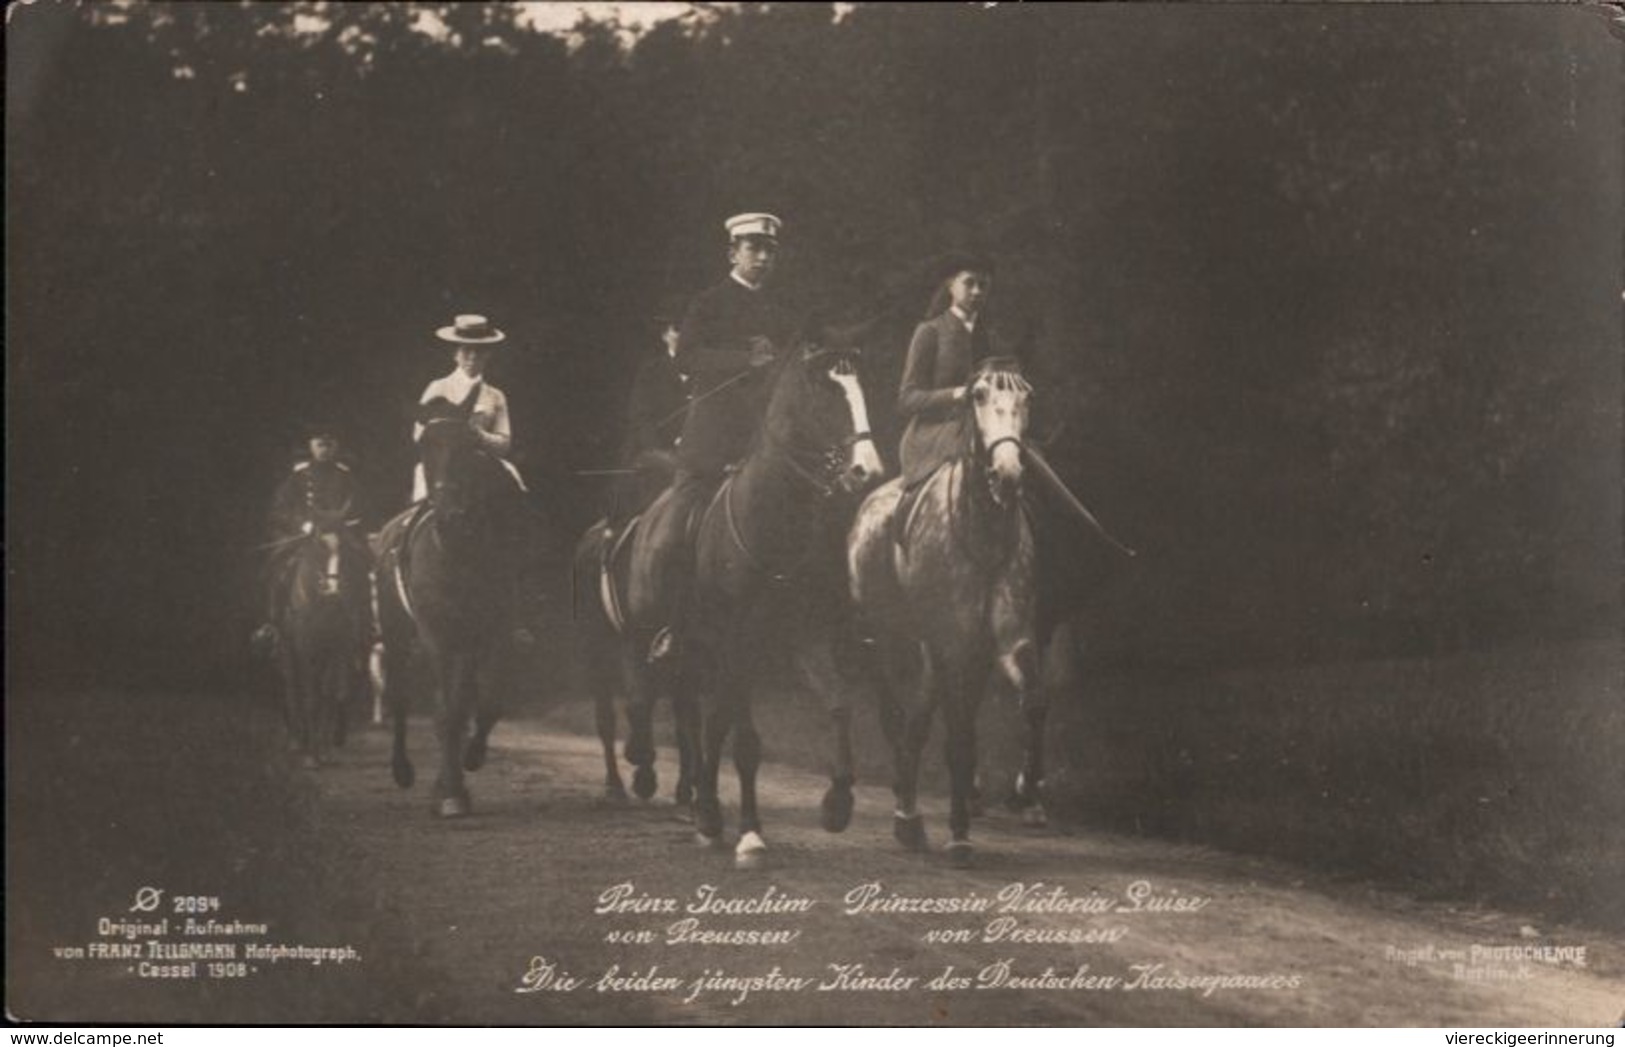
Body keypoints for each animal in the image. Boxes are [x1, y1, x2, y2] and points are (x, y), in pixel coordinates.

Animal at [373, 383, 520, 819]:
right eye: (424, 446)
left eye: (468, 443)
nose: (451, 515)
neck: (459, 551)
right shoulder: (436, 634)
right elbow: (448, 711)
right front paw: (452, 793)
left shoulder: (492, 630)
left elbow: (486, 702)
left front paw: (470, 760)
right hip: (399, 635)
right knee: (401, 696)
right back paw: (404, 770)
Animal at [679, 343, 890, 864]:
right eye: (826, 394)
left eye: (861, 389)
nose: (867, 471)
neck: (773, 522)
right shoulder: (739, 644)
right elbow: (747, 742)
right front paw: (751, 833)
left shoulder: (806, 639)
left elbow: (839, 704)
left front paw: (838, 803)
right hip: (697, 651)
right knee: (698, 719)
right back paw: (703, 808)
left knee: (712, 720)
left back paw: (708, 810)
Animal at [851, 359, 1040, 864]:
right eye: (977, 396)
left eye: (1027, 398)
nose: (1008, 473)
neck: (985, 533)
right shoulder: (955, 645)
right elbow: (955, 737)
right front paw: (955, 833)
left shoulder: (1000, 643)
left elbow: (1023, 709)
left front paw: (1021, 794)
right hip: (888, 636)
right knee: (898, 719)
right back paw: (907, 815)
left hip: (933, 649)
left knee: (918, 719)